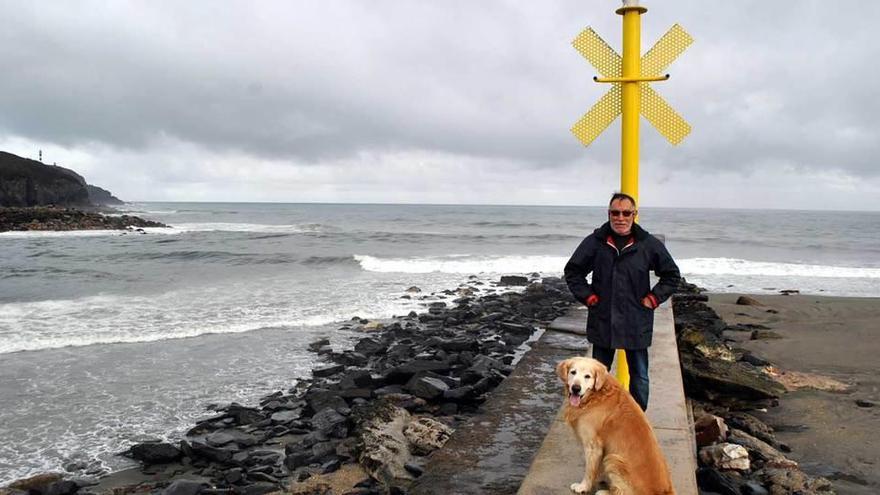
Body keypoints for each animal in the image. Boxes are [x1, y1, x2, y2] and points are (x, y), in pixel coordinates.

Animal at [556, 358, 672, 495]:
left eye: (587, 376)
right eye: (573, 372)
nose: (575, 388)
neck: (597, 395)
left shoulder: (593, 445)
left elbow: (590, 470)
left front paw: (583, 486)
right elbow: (597, 467)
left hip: (613, 458)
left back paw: (603, 492)